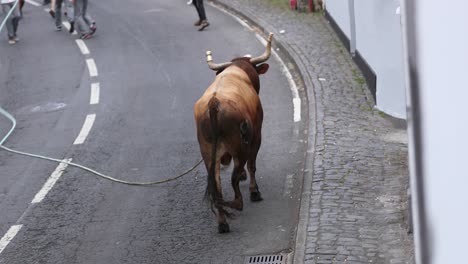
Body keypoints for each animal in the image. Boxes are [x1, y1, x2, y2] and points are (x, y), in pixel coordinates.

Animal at [194, 33, 274, 233]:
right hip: (240, 147)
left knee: (217, 186)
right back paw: (239, 202)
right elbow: (252, 166)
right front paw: (254, 190)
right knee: (233, 180)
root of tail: (214, 103)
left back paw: (222, 222)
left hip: (208, 153)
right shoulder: (257, 135)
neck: (236, 72)